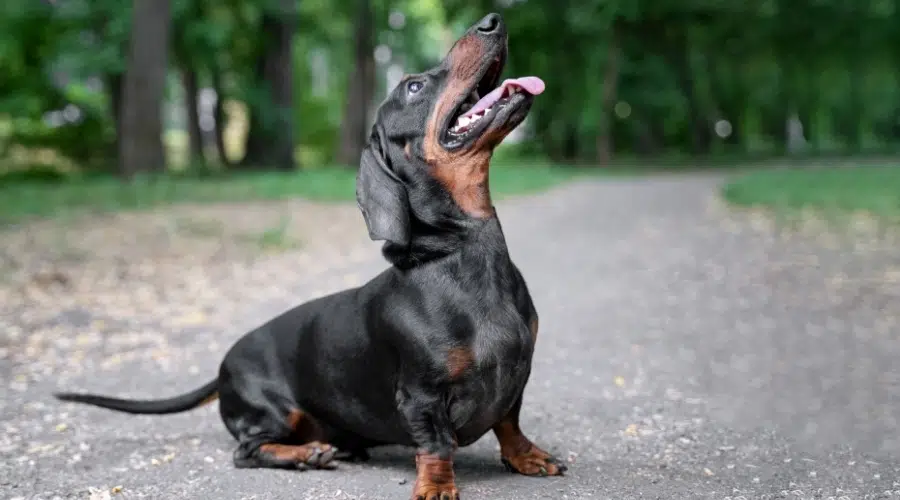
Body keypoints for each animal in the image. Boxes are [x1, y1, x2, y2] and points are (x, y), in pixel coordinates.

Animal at [54, 12, 564, 500]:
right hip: (275, 412)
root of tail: (222, 368)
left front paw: (527, 456)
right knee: (247, 450)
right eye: (414, 86)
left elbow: (509, 421)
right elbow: (435, 444)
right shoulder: (419, 397)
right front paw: (436, 486)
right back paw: (306, 454)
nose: (492, 22)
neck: (459, 253)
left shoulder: (516, 378)